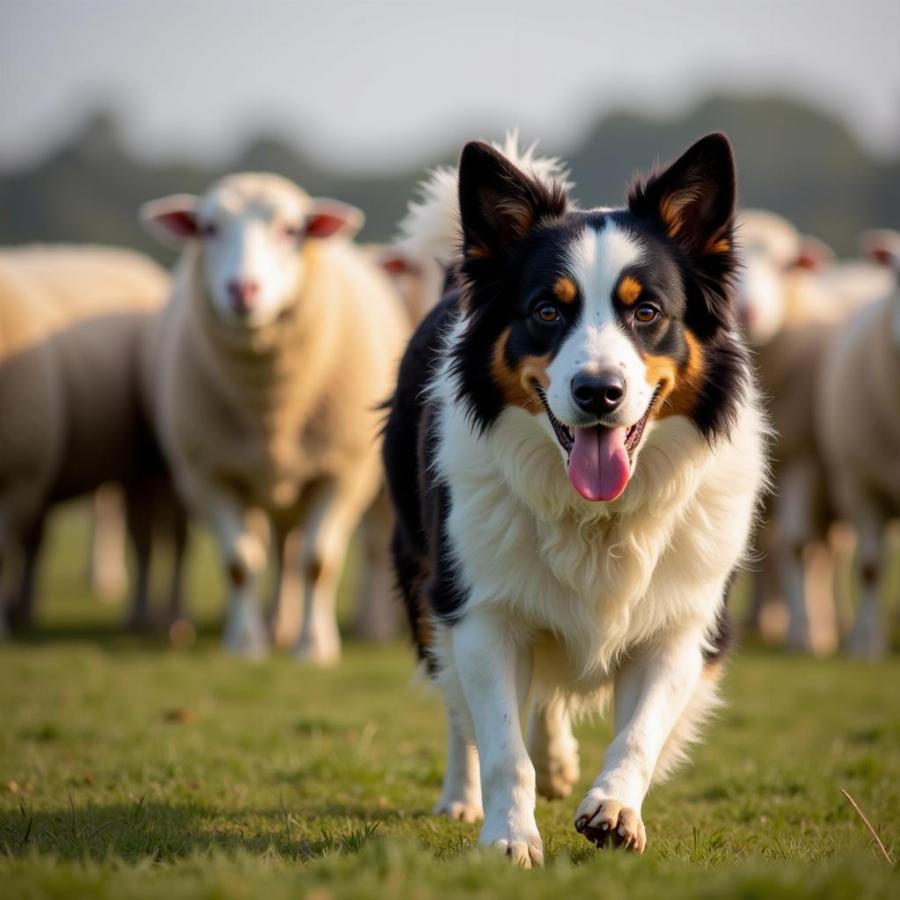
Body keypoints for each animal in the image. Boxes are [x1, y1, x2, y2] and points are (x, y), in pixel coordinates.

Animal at [142, 172, 410, 660]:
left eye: (290, 230)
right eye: (208, 228)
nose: (243, 290)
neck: (271, 407)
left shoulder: (342, 472)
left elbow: (319, 562)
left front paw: (314, 647)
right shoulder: (208, 473)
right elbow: (239, 562)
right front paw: (246, 644)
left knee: (330, 549)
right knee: (278, 549)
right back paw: (275, 625)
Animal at [382, 134, 768, 864]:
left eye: (646, 312)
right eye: (546, 311)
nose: (598, 393)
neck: (597, 516)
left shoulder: (683, 622)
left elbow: (639, 732)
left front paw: (614, 808)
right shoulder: (480, 609)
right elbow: (501, 744)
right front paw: (508, 837)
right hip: (424, 575)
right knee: (459, 710)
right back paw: (461, 797)